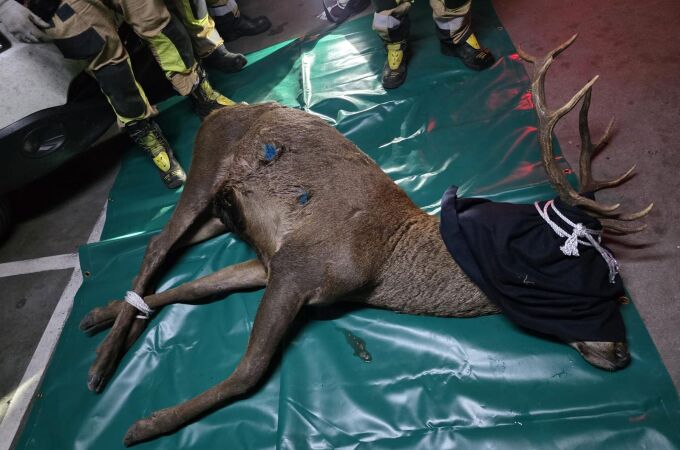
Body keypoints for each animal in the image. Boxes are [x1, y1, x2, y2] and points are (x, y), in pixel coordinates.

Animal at [76, 35, 652, 446]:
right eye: (575, 274)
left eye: (621, 290)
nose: (622, 352)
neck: (381, 264)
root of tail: (221, 111)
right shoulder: (300, 266)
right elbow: (250, 370)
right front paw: (147, 424)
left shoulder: (272, 260)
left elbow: (198, 291)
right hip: (206, 166)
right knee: (158, 244)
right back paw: (101, 368)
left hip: (222, 218)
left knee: (177, 264)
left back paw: (104, 321)